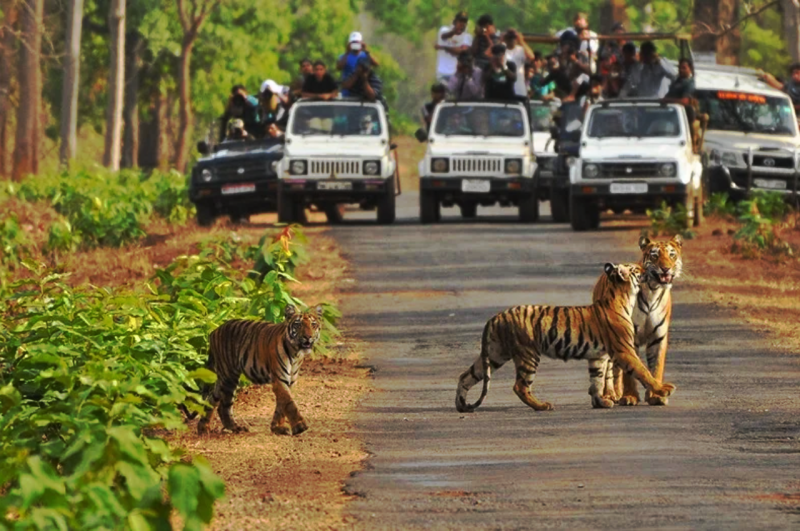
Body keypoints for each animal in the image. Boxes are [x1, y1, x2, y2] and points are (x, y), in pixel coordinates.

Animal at [193, 304, 323, 436]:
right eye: (298, 324)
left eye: (313, 324)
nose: (308, 337)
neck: (295, 353)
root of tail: (214, 332)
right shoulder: (279, 380)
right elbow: (289, 403)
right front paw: (300, 426)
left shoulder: (289, 381)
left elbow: (281, 406)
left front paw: (277, 428)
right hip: (229, 377)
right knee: (223, 406)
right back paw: (233, 428)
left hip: (224, 378)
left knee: (212, 399)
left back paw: (204, 428)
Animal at [455, 263, 676, 413]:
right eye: (636, 269)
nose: (646, 267)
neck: (623, 297)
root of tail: (496, 317)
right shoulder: (624, 350)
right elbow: (643, 371)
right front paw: (663, 389)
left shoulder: (598, 356)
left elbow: (596, 380)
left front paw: (600, 402)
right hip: (528, 354)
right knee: (520, 386)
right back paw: (542, 405)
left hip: (495, 354)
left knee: (466, 376)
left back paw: (461, 405)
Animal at [605, 235, 683, 407]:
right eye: (654, 255)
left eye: (672, 255)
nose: (666, 268)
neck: (653, 290)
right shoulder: (628, 337)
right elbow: (631, 371)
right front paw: (630, 396)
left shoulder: (658, 337)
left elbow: (656, 367)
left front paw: (656, 395)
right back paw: (612, 395)